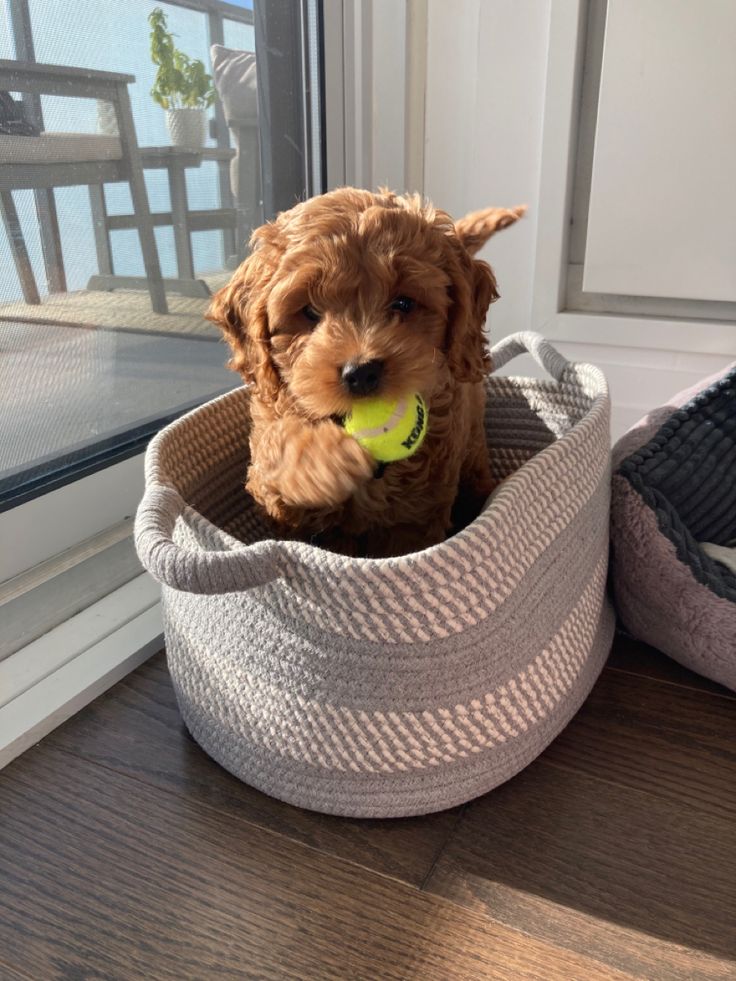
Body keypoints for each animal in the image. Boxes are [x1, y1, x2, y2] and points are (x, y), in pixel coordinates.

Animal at [207, 188, 524, 556]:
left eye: (403, 304)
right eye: (310, 311)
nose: (361, 373)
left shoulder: (414, 521)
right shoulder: (271, 482)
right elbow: (284, 447)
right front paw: (326, 460)